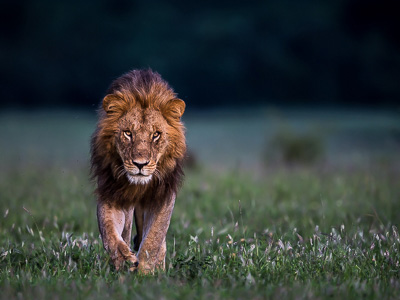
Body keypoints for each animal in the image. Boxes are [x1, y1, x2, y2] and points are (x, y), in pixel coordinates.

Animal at [89, 69, 186, 274]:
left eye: (156, 134)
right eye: (128, 133)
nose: (140, 164)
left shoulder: (163, 195)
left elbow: (154, 237)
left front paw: (145, 272)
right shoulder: (111, 192)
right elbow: (109, 230)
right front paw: (123, 259)